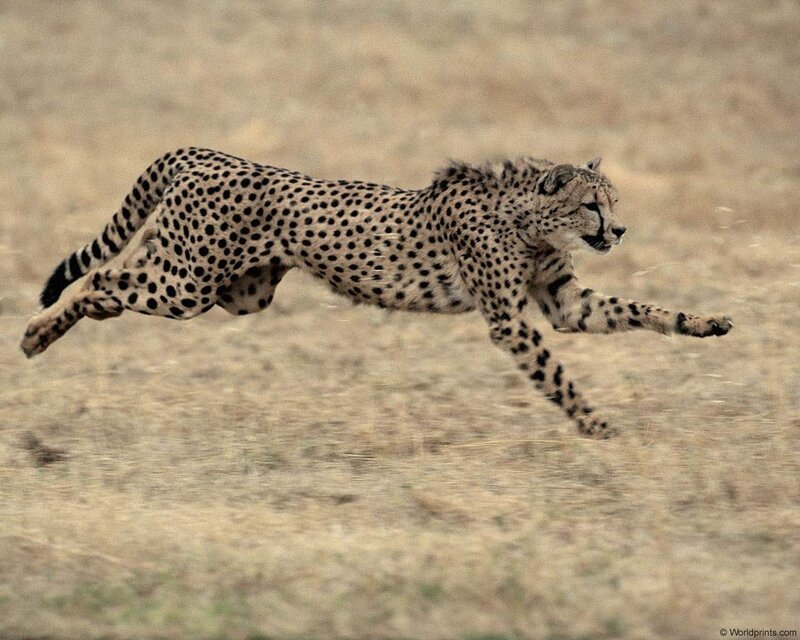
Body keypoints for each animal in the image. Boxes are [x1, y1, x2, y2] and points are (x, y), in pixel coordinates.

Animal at [21, 148, 733, 437]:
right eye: (592, 205)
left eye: (613, 202)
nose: (619, 230)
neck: (525, 219)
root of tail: (206, 153)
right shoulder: (510, 320)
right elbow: (558, 376)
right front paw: (595, 424)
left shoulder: (564, 305)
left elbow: (642, 311)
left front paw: (705, 323)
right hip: (187, 282)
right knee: (100, 276)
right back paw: (33, 334)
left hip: (235, 290)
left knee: (114, 282)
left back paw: (47, 332)